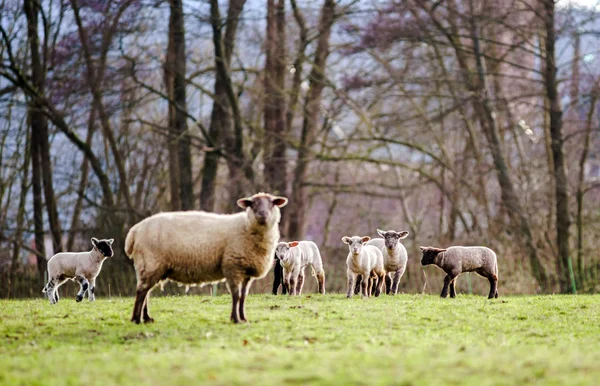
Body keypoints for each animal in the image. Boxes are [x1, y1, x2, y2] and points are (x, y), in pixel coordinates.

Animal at [124, 192, 288, 322]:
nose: (263, 214)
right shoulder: (232, 266)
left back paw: (146, 318)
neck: (246, 227)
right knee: (141, 292)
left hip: (151, 266)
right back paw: (136, 319)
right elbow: (236, 295)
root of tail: (133, 232)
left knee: (146, 292)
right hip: (150, 262)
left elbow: (243, 296)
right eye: (252, 204)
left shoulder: (246, 271)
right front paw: (235, 319)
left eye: (272, 203)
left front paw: (243, 318)